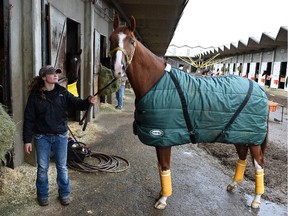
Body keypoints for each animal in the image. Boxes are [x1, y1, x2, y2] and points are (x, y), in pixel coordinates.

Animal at [109, 14, 268, 209]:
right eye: (111, 39)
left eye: (131, 41)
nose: (118, 70)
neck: (157, 83)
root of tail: (259, 88)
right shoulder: (160, 139)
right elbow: (160, 166)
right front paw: (161, 194)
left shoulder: (164, 139)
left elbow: (164, 166)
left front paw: (163, 199)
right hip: (238, 134)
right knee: (242, 157)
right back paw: (233, 185)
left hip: (253, 139)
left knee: (259, 164)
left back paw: (256, 199)